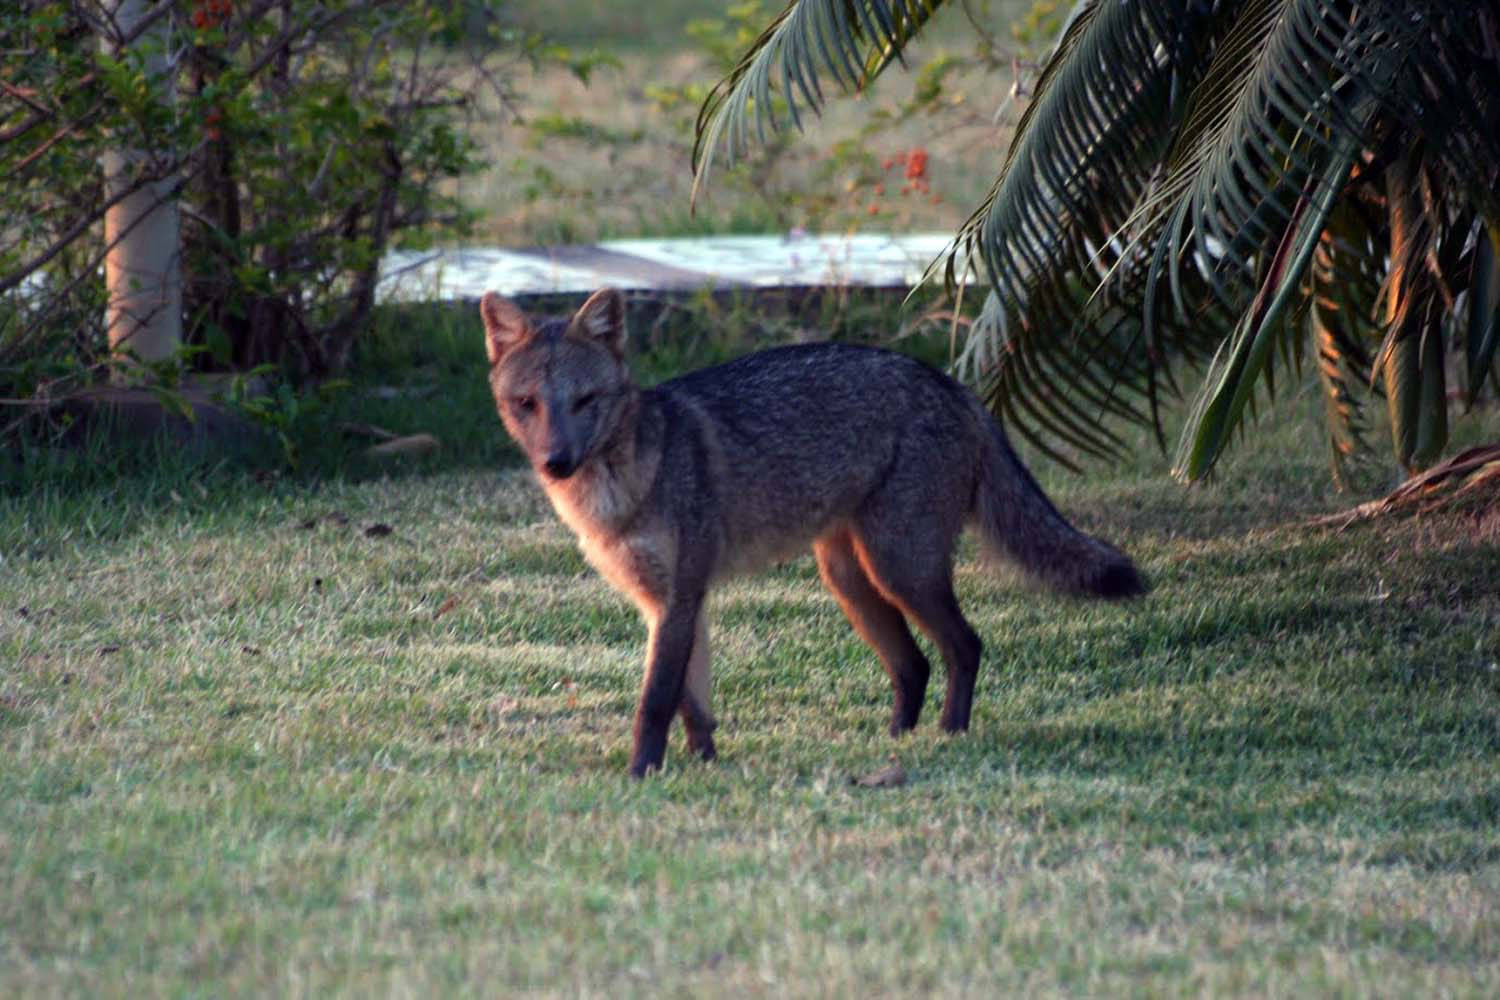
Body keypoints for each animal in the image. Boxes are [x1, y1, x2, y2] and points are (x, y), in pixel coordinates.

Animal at [483, 284, 1146, 779]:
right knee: (914, 665)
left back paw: (949, 737)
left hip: (901, 568)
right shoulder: (665, 603)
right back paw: (893, 744)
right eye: (527, 404)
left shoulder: (679, 597)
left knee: (965, 647)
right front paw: (704, 765)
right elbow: (693, 704)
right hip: (850, 579)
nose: (556, 462)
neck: (627, 481)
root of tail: (949, 382)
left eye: (585, 401)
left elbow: (655, 700)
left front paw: (641, 773)